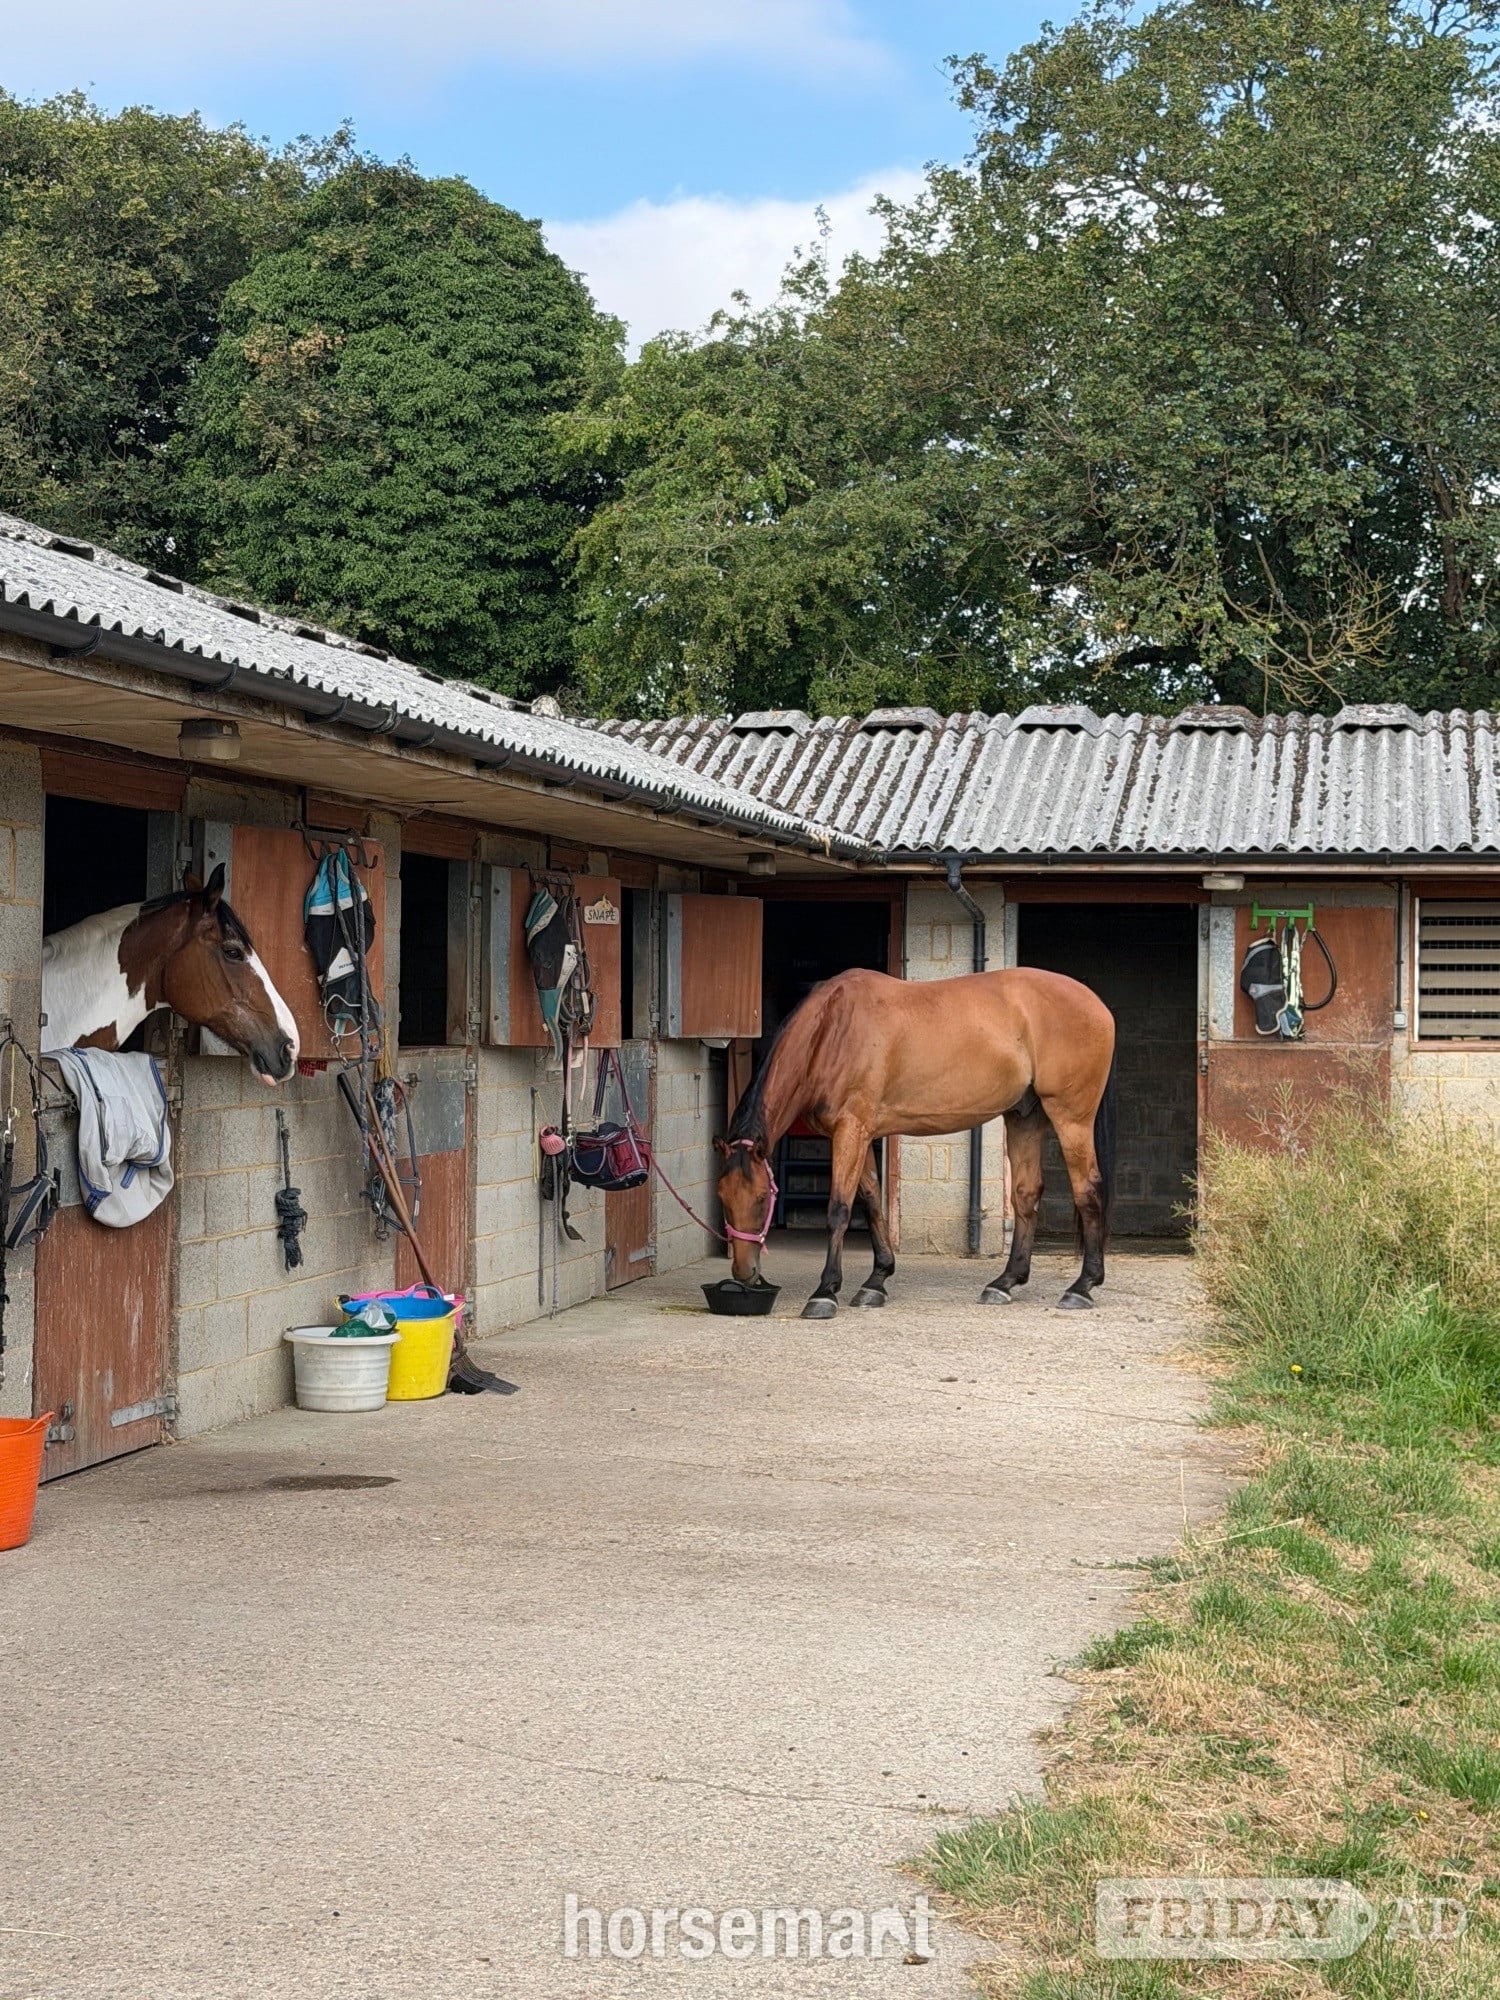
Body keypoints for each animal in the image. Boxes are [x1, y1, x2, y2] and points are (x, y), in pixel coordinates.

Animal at [715, 966, 1116, 1318]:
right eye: (722, 1196)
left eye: (763, 1197)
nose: (744, 1273)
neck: (833, 1030)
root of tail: (1097, 1004)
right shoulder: (859, 1134)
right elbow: (871, 1201)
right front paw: (876, 1282)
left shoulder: (850, 1131)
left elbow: (839, 1210)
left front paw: (825, 1292)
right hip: (1024, 1117)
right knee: (1026, 1194)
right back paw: (1004, 1283)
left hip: (1070, 1118)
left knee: (1088, 1191)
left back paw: (1082, 1287)